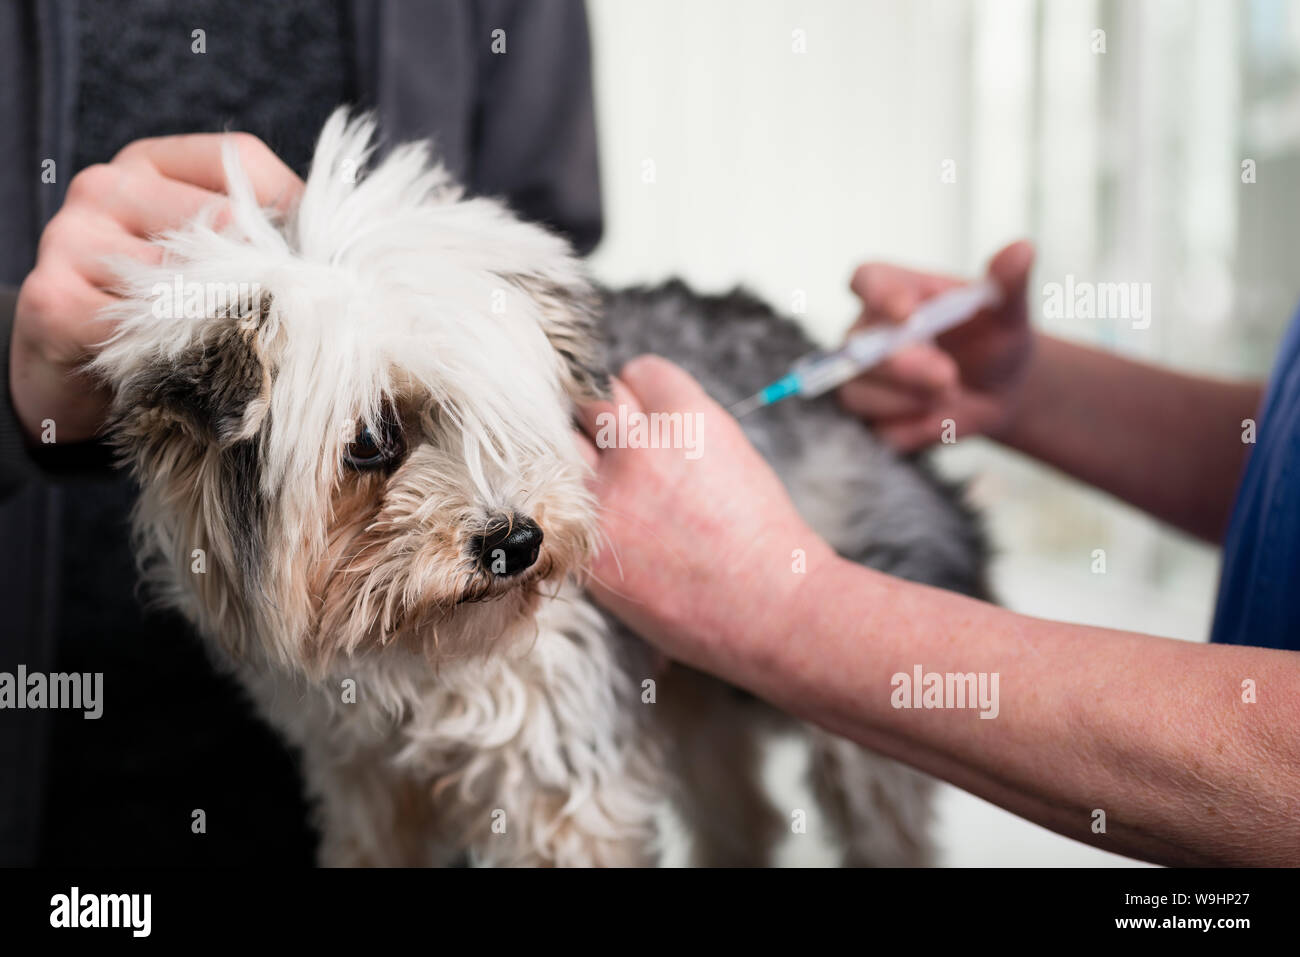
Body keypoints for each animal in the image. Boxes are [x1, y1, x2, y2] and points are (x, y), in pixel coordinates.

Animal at [91, 111, 982, 868]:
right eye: (371, 441)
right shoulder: (362, 780)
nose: (517, 542)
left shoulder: (562, 778)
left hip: (863, 714)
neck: (411, 653)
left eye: (507, 411)